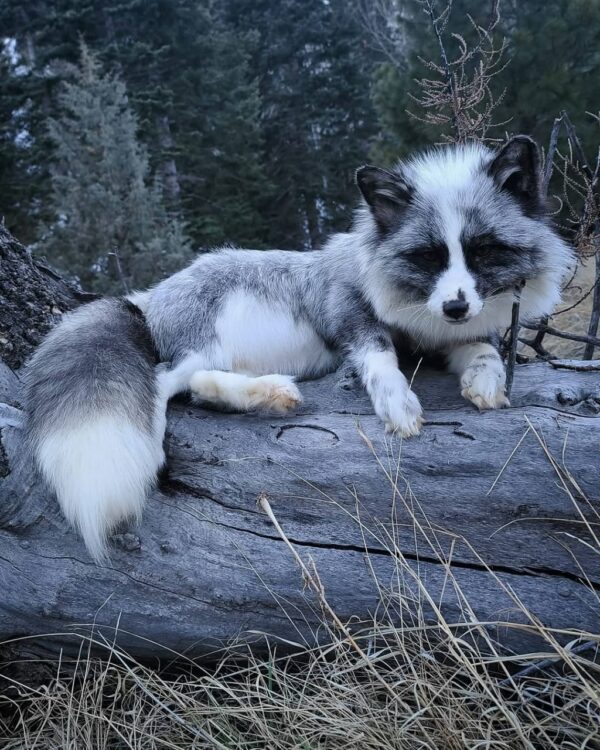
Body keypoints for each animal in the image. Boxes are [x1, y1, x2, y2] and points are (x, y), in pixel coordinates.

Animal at [23, 135, 573, 560]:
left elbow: (482, 348)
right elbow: (379, 355)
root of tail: (148, 296)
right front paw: (398, 404)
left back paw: (270, 395)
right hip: (205, 340)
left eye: (482, 251)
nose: (456, 306)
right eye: (429, 256)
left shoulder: (444, 337)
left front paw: (486, 380)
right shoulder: (349, 310)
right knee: (161, 386)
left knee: (196, 387)